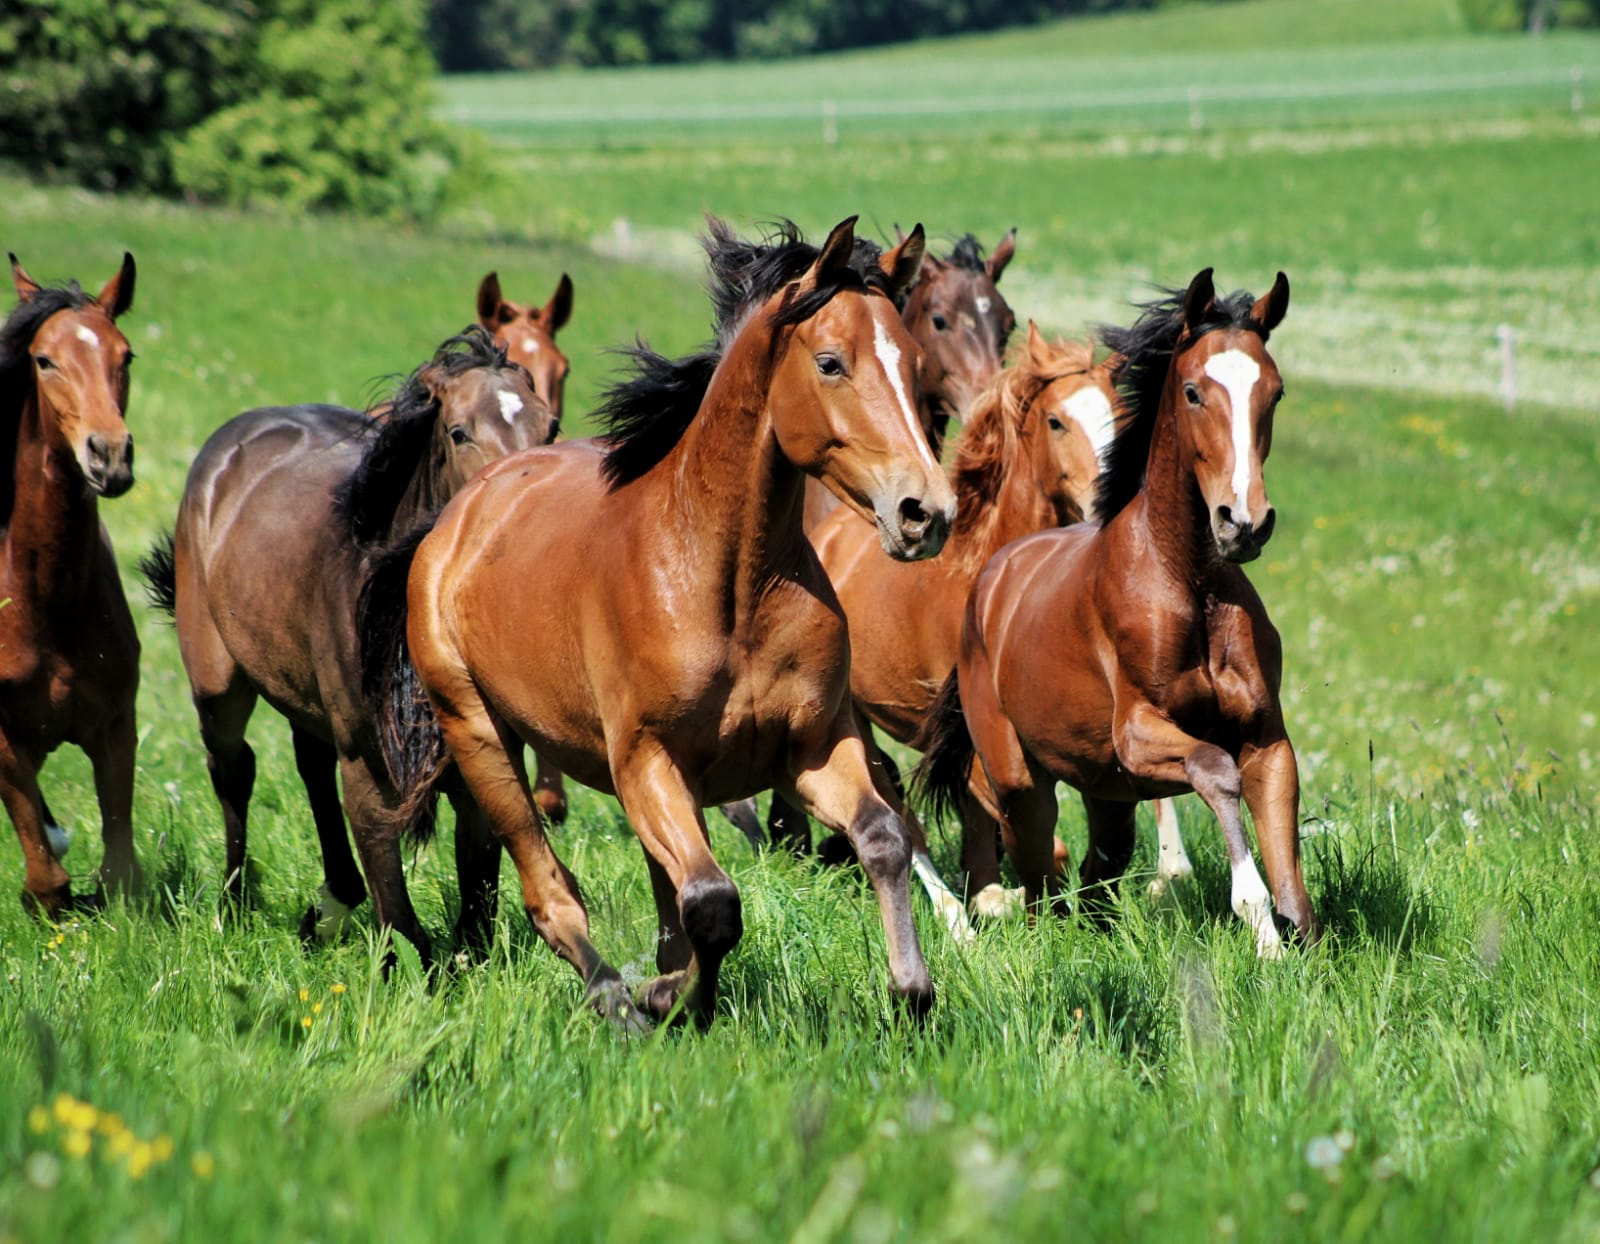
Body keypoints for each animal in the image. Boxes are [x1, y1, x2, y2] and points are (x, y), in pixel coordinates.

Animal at [143, 328, 555, 954]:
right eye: (459, 432)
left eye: (550, 426)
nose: (518, 516)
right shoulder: (367, 763)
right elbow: (399, 915)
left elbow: (478, 903)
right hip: (218, 684)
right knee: (233, 770)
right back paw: (233, 905)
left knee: (310, 763)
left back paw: (332, 903)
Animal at [359, 217, 951, 1030]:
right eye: (831, 363)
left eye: (918, 367)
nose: (926, 512)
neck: (727, 583)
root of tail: (455, 517)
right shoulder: (645, 761)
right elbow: (713, 901)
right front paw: (671, 997)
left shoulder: (813, 750)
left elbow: (884, 838)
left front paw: (911, 992)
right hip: (479, 735)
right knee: (550, 890)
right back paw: (615, 998)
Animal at [764, 324, 1117, 933]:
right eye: (1056, 421)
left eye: (1118, 414)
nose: (1104, 501)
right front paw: (1002, 900)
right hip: (854, 718)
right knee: (899, 807)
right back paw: (956, 918)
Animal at [916, 269, 1318, 956]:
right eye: (1193, 391)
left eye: (1276, 391)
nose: (1244, 522)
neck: (1189, 584)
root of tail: (991, 579)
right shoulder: (1138, 734)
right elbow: (1216, 770)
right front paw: (1255, 915)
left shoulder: (1266, 737)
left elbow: (1292, 875)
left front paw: (1285, 937)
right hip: (1021, 780)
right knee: (1036, 874)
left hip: (1108, 796)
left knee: (1093, 872)